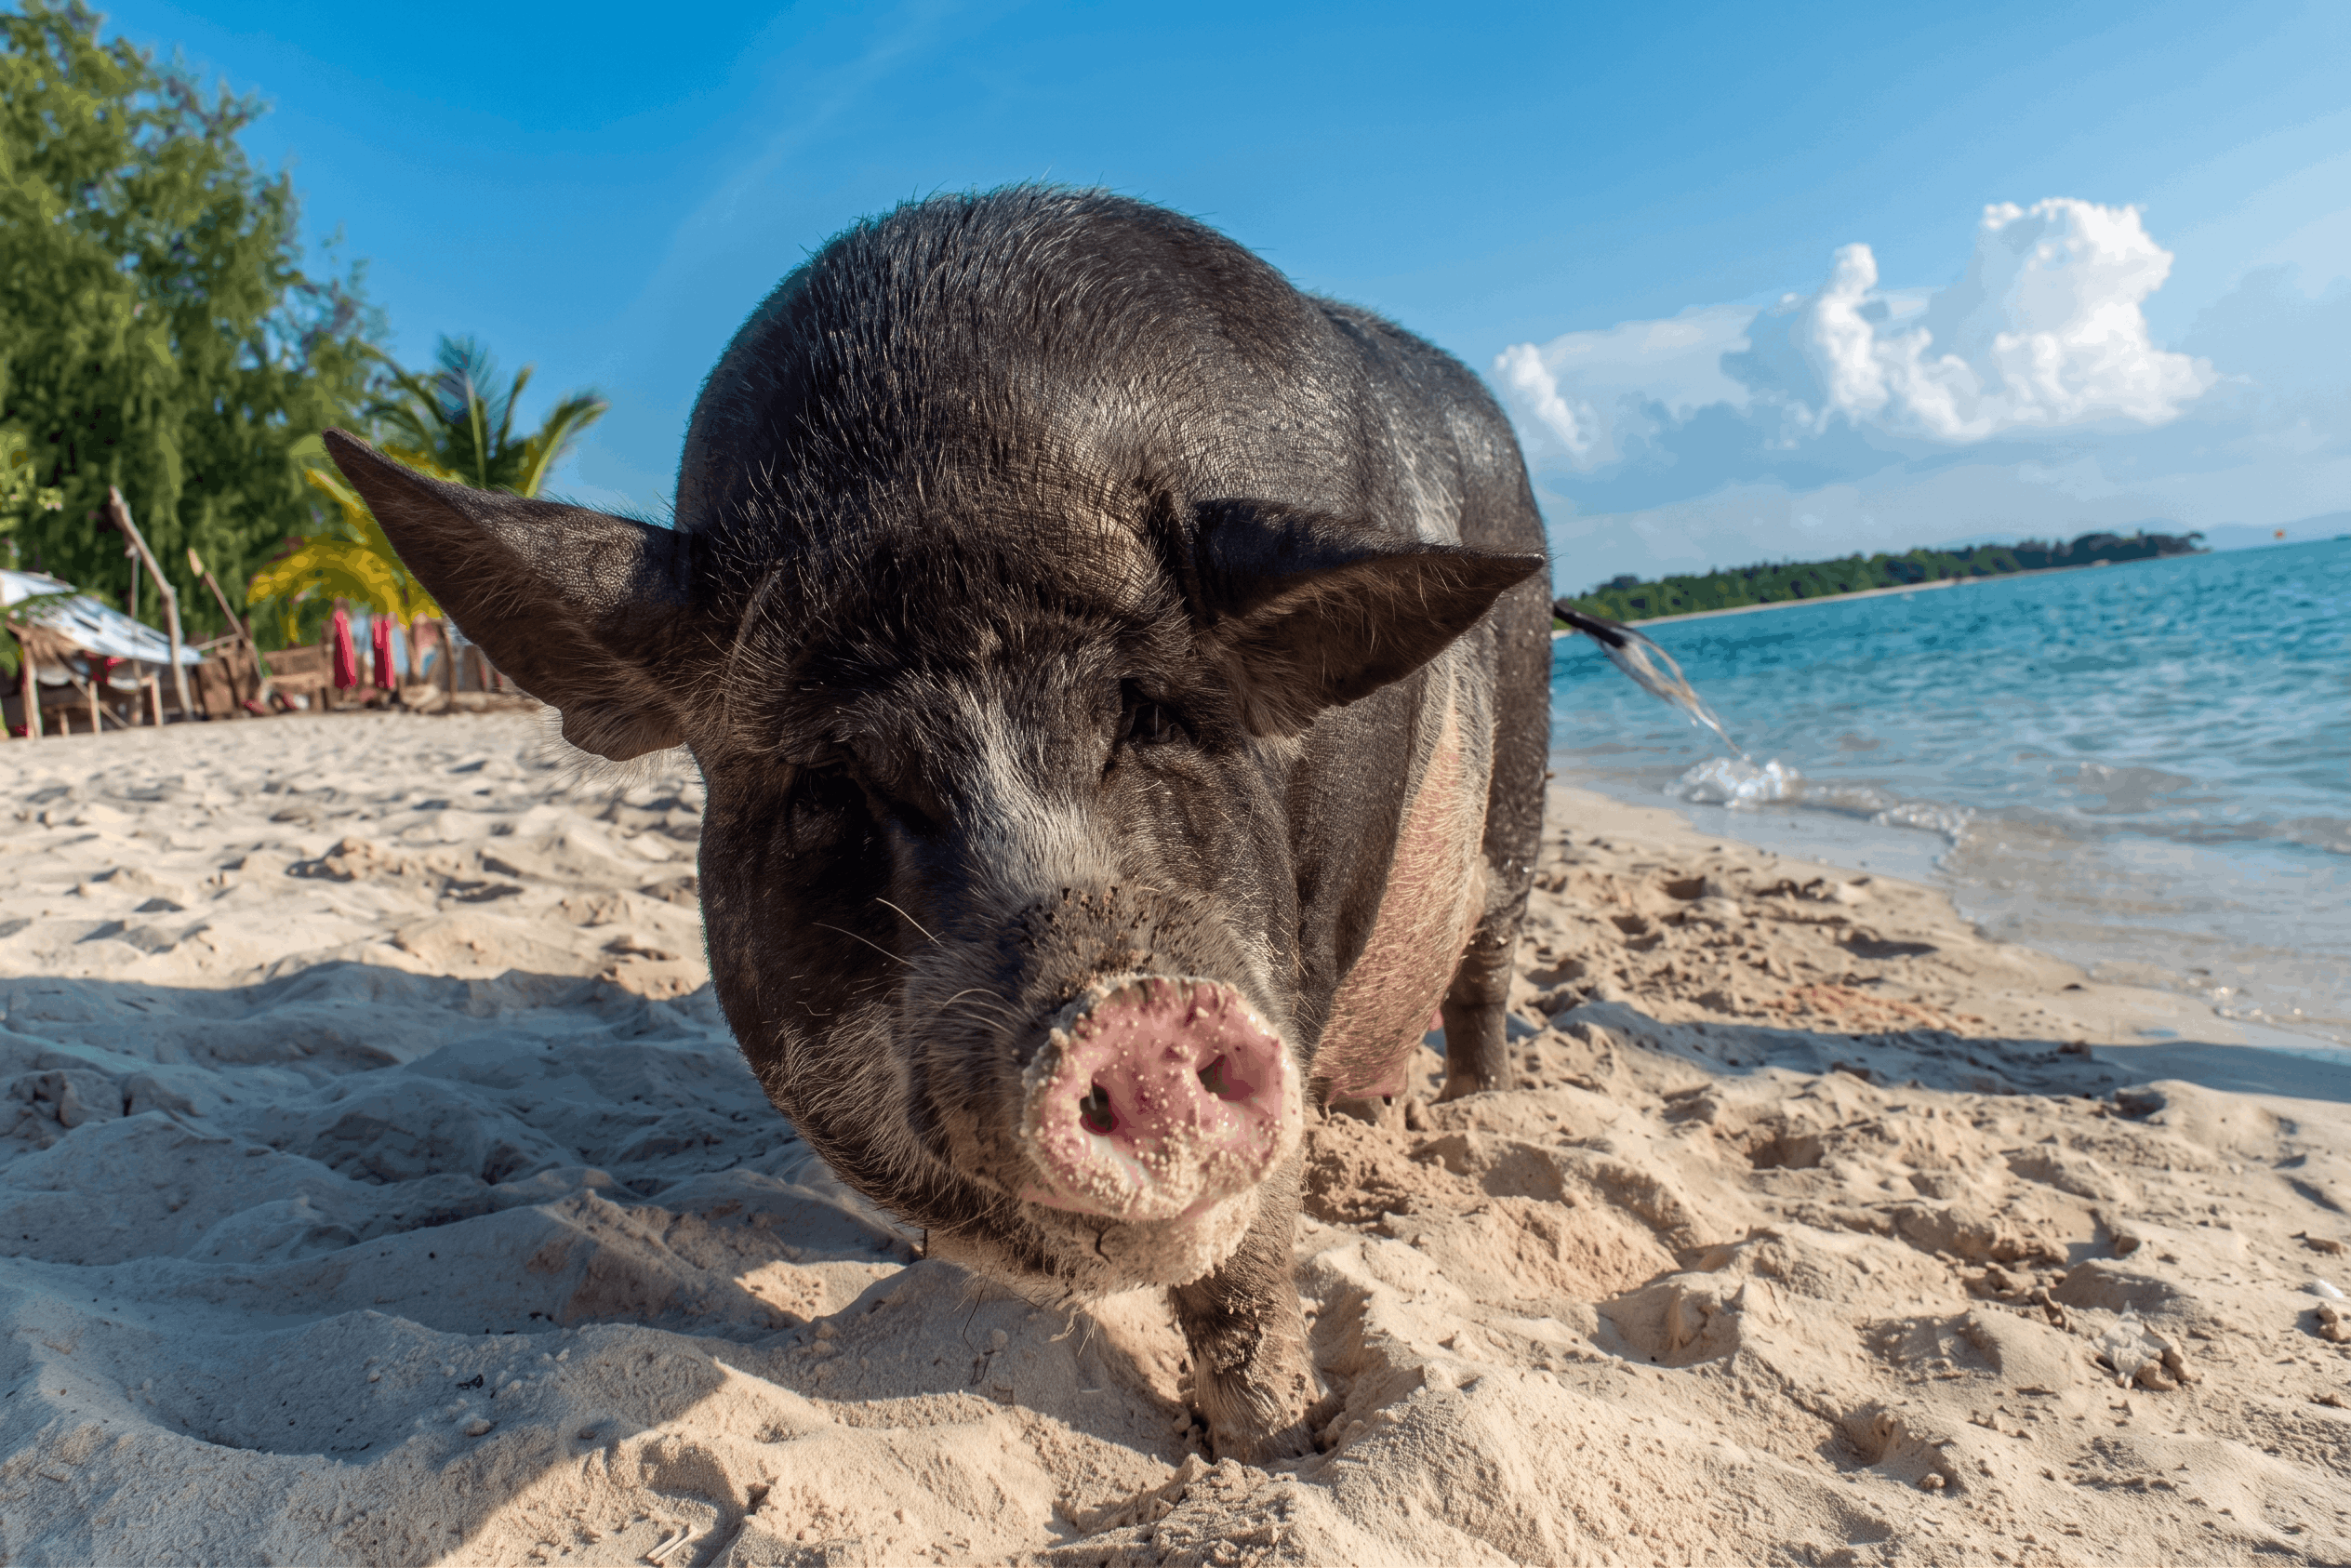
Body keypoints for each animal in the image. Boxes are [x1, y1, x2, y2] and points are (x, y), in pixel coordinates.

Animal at [323, 185, 1551, 1460]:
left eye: (1146, 715)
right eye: (826, 781)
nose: (1131, 1009)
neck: (951, 461)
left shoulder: (1302, 950)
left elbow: (1249, 1248)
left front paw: (1274, 1447)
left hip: (1521, 786)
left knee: (1485, 968)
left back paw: (1471, 1106)